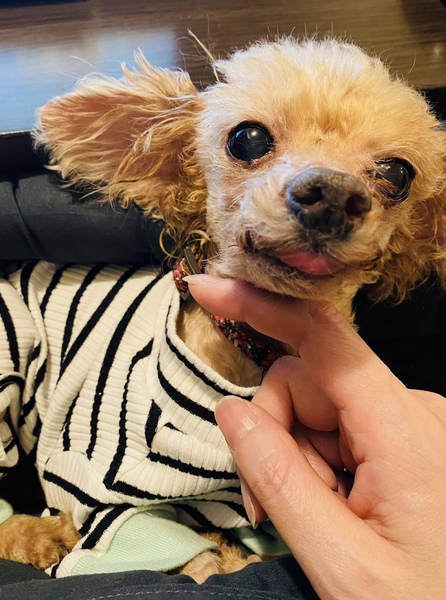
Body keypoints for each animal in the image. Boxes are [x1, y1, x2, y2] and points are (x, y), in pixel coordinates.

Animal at [0, 36, 445, 581]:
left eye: (398, 175)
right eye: (247, 140)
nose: (332, 194)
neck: (250, 349)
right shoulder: (95, 487)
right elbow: (176, 548)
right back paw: (40, 536)